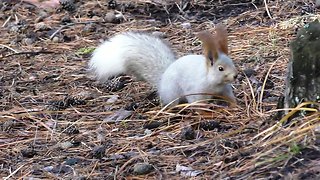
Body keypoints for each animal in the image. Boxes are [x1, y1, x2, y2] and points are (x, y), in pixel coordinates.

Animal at [87, 25, 238, 107]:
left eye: (232, 63)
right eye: (220, 68)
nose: (236, 75)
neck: (214, 83)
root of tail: (162, 79)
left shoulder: (224, 89)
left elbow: (230, 97)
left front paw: (234, 105)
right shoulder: (195, 90)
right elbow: (196, 102)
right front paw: (204, 111)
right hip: (172, 93)